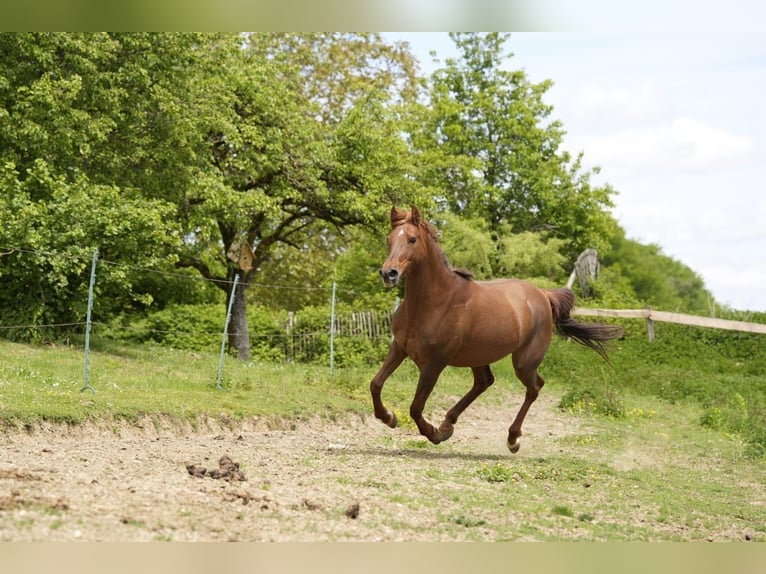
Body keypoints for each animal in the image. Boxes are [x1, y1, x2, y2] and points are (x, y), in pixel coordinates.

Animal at [369, 205, 623, 453]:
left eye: (412, 239)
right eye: (389, 239)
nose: (388, 273)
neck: (434, 302)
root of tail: (543, 295)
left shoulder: (434, 364)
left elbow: (415, 407)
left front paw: (433, 434)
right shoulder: (399, 348)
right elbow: (376, 384)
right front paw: (389, 417)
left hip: (524, 362)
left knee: (534, 387)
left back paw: (512, 439)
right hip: (479, 355)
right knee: (485, 382)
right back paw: (448, 424)